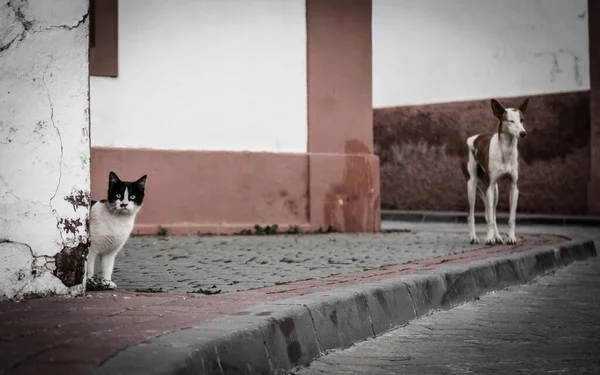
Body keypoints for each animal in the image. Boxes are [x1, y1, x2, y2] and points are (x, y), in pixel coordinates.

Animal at [464, 98, 528, 247]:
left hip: (496, 191)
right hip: (472, 186)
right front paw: (489, 238)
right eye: (511, 121)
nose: (523, 133)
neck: (506, 150)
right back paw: (474, 237)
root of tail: (474, 137)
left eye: (522, 120)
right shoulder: (490, 187)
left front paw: (511, 237)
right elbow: (489, 219)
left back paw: (497, 236)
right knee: (472, 215)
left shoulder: (514, 187)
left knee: (492, 213)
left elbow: (511, 217)